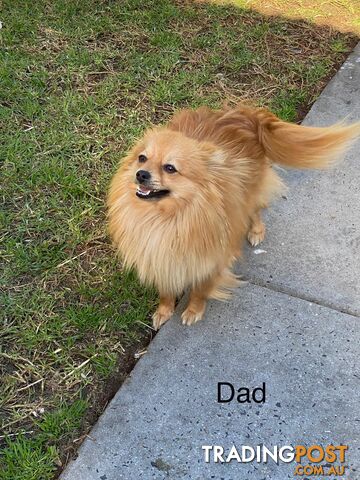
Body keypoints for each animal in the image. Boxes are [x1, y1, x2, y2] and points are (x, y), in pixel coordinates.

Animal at [106, 105, 358, 330]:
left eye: (170, 168)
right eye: (142, 158)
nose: (141, 174)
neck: (166, 216)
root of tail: (247, 116)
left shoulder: (212, 259)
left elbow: (201, 289)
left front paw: (194, 310)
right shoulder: (158, 256)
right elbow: (165, 290)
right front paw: (164, 311)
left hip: (251, 194)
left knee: (255, 211)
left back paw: (256, 231)